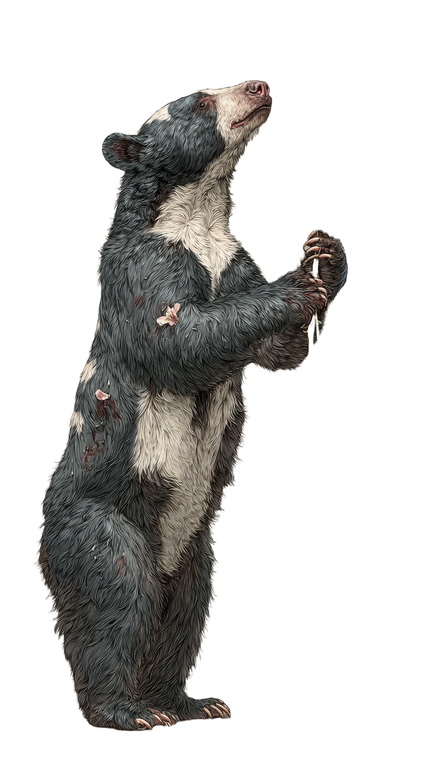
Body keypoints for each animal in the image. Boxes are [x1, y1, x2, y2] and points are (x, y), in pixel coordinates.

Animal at [36, 79, 348, 732]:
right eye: (201, 101)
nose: (259, 85)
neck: (199, 214)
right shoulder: (143, 265)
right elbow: (176, 335)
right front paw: (293, 284)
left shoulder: (230, 257)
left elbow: (276, 354)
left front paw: (324, 258)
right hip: (102, 521)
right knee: (114, 599)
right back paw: (126, 711)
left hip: (197, 552)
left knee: (185, 614)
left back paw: (188, 701)